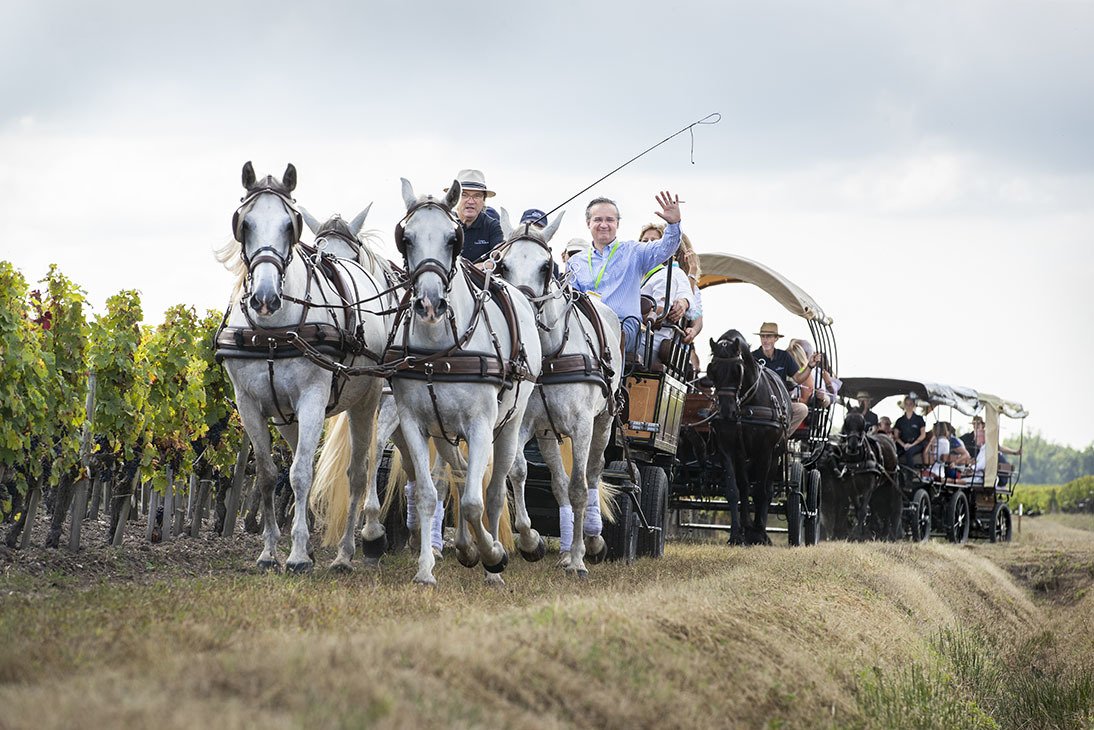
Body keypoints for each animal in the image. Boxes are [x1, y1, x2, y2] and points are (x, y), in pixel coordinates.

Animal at [213, 163, 389, 573]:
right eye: (244, 223)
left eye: (289, 226)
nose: (264, 298)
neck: (271, 332)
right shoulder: (249, 404)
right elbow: (268, 475)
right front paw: (269, 552)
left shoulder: (312, 399)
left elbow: (301, 472)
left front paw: (295, 556)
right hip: (286, 416)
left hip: (366, 400)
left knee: (358, 474)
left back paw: (347, 552)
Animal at [391, 178, 544, 586]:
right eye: (406, 238)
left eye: (452, 239)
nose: (430, 304)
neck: (439, 350)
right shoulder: (415, 423)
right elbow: (429, 494)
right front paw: (426, 570)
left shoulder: (479, 424)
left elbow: (478, 500)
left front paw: (493, 555)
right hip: (446, 434)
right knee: (459, 476)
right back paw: (465, 547)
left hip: (508, 426)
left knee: (495, 487)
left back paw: (501, 556)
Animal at [492, 210, 621, 577]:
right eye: (502, 265)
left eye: (546, 266)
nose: (522, 306)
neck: (549, 353)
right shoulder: (524, 423)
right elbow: (518, 471)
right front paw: (530, 541)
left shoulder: (582, 425)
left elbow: (579, 488)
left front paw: (578, 559)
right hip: (549, 432)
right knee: (558, 482)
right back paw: (564, 549)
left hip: (603, 422)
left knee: (591, 475)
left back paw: (590, 541)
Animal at [704, 330, 792, 542]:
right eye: (713, 370)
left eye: (738, 370)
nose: (726, 412)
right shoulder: (727, 449)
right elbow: (734, 490)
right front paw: (736, 534)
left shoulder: (765, 451)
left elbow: (760, 492)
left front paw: (759, 533)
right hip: (742, 456)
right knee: (744, 487)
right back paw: (746, 527)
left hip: (776, 456)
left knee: (767, 490)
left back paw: (759, 530)